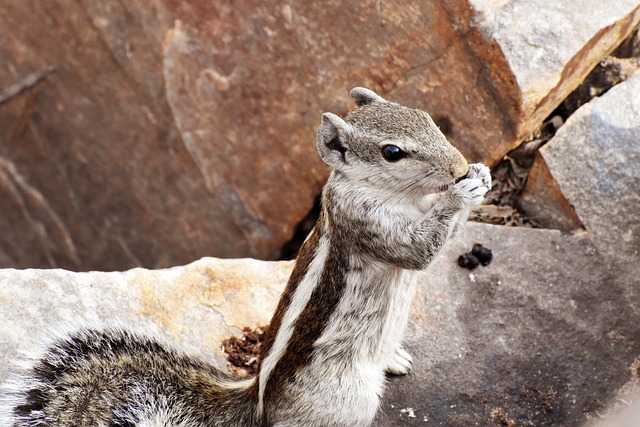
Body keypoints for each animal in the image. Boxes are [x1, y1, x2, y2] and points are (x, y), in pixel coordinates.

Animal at [0, 85, 492, 426]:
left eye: (426, 116)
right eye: (393, 153)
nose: (457, 166)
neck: (402, 197)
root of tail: (256, 400)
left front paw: (480, 176)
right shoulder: (364, 222)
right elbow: (417, 252)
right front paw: (463, 192)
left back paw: (394, 358)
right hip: (346, 399)